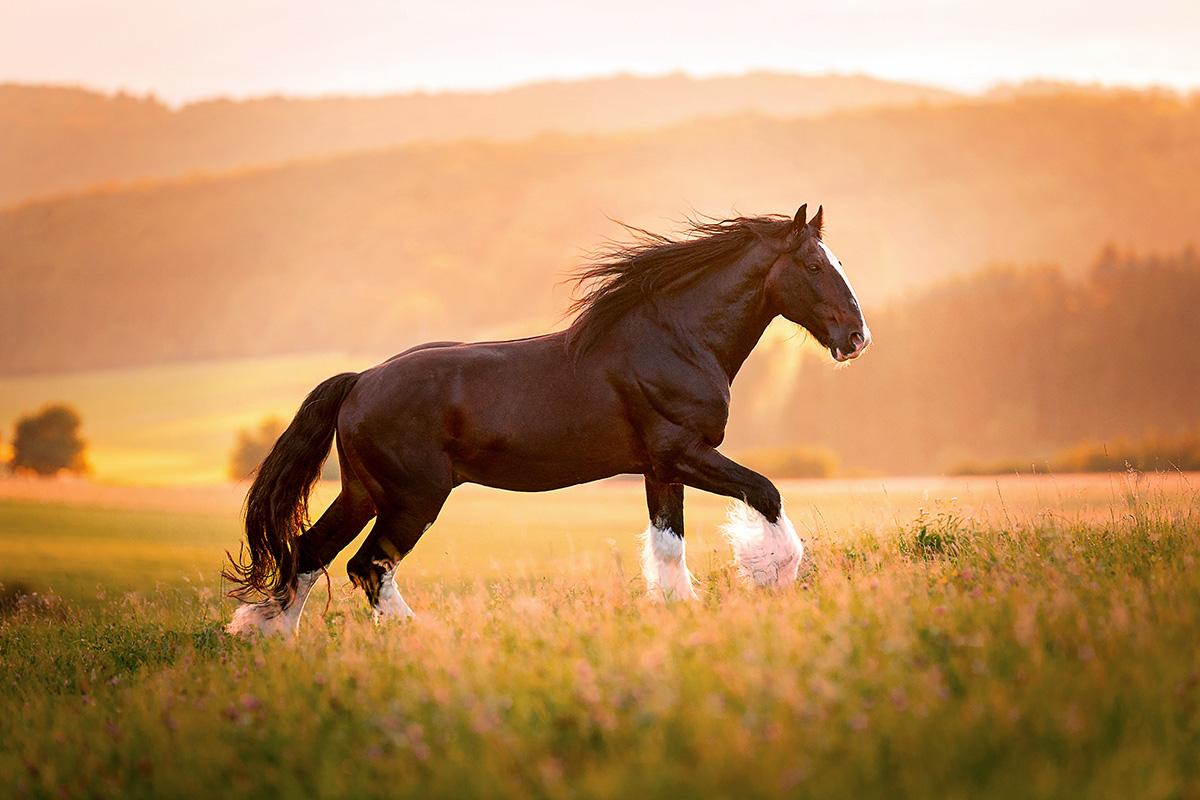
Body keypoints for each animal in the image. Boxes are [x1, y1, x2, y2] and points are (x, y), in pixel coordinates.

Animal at [220, 206, 868, 638]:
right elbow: (767, 493)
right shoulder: (685, 453)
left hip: (362, 491)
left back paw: (278, 641)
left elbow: (668, 547)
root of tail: (359, 382)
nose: (857, 338)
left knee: (309, 553)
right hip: (412, 498)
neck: (678, 341)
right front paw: (773, 580)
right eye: (815, 264)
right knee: (367, 567)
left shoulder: (659, 468)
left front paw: (680, 614)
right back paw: (421, 636)